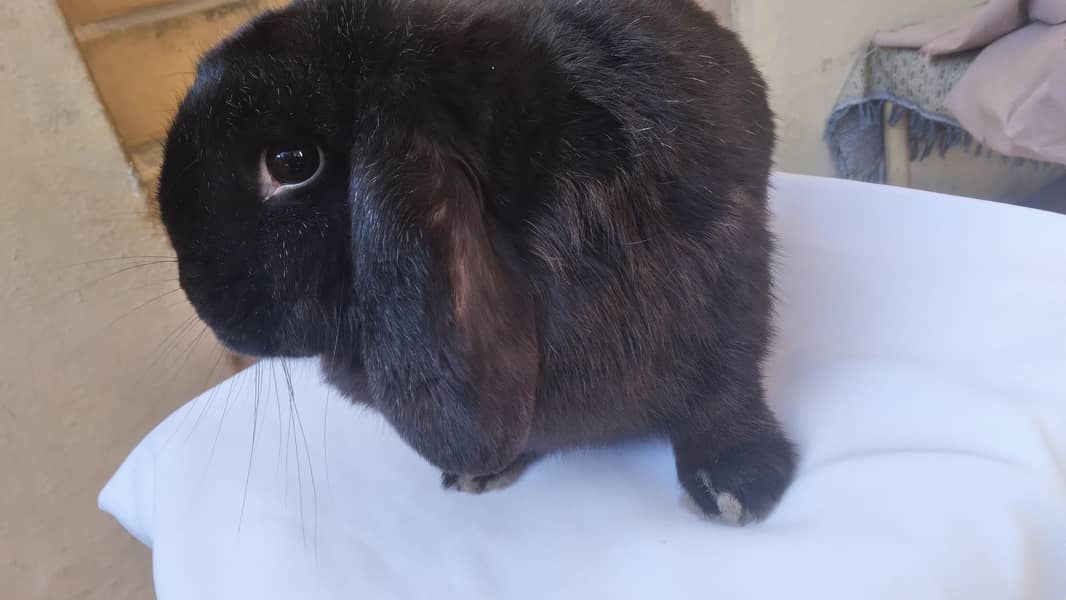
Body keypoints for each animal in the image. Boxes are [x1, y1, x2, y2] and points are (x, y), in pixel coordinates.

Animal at [158, 0, 796, 525]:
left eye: (291, 162)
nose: (200, 298)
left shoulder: (727, 292)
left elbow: (723, 392)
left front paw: (737, 484)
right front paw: (478, 473)